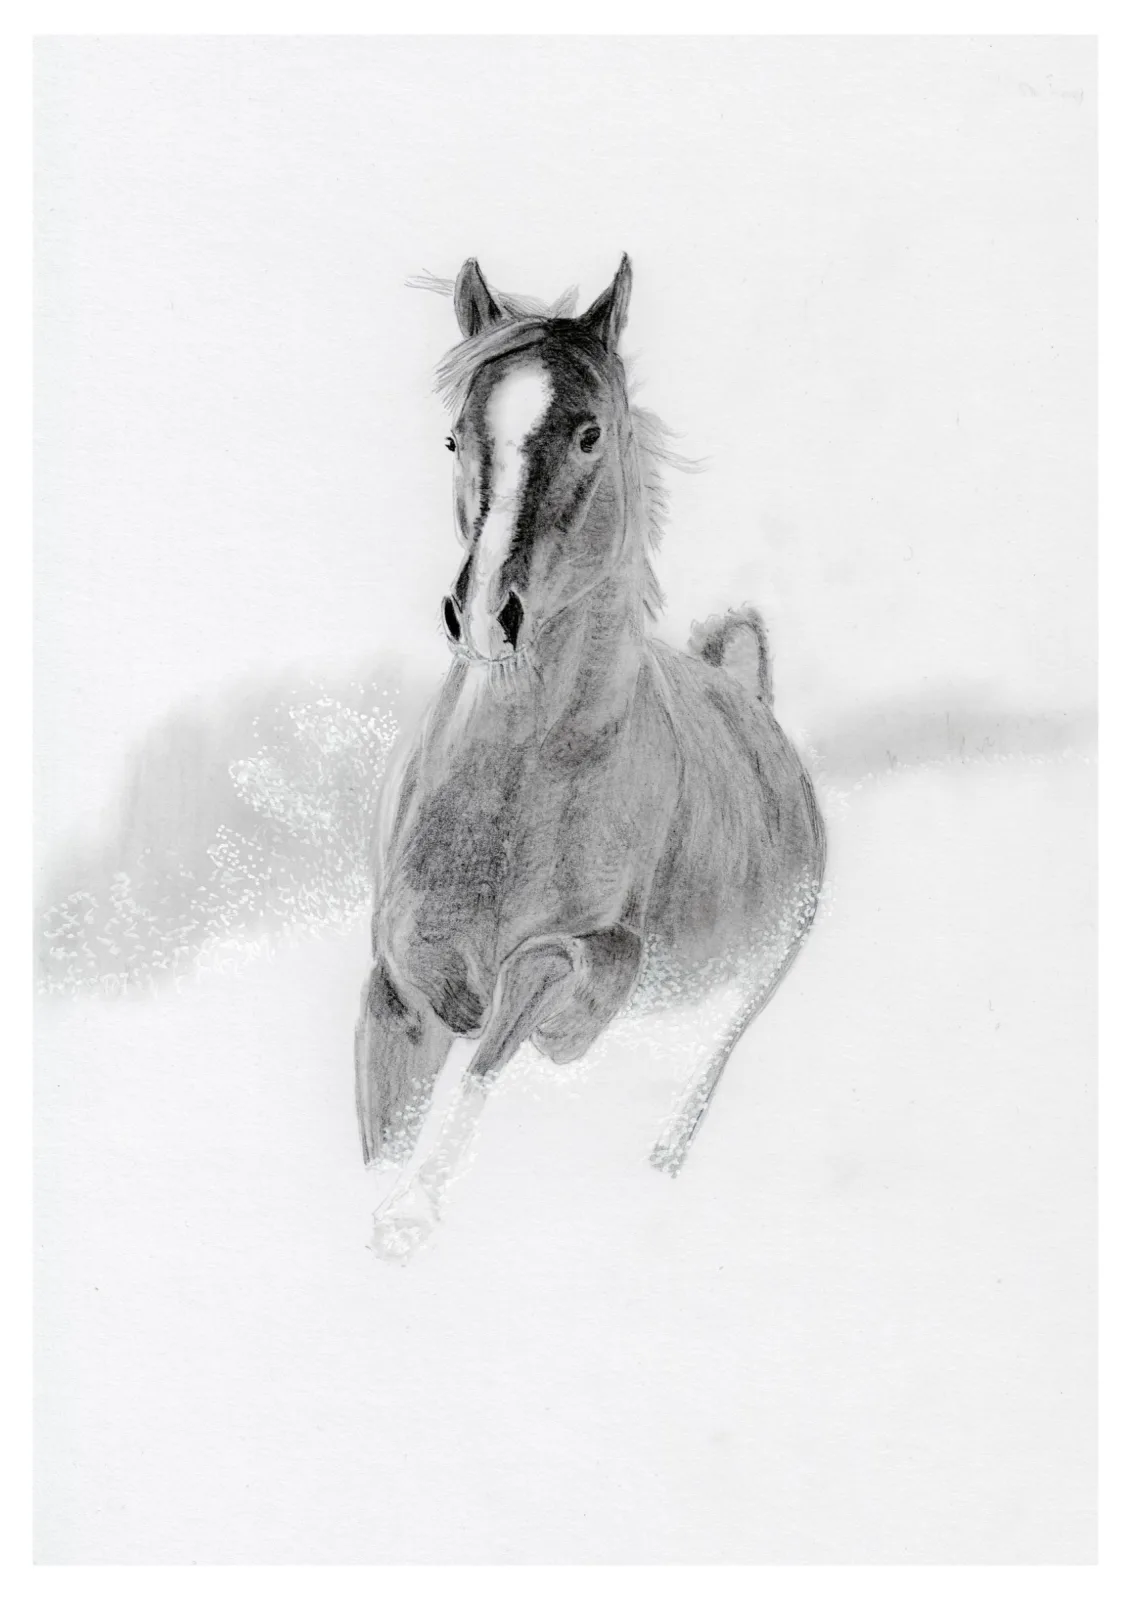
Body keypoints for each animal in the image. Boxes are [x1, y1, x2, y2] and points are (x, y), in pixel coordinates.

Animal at [355, 255, 825, 1258]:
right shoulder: (396, 995)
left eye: (587, 433)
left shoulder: (589, 959)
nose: (485, 615)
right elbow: (386, 1130)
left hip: (726, 1016)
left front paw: (410, 1214)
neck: (510, 790)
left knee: (675, 1105)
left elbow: (516, 1031)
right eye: (453, 438)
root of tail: (752, 699)